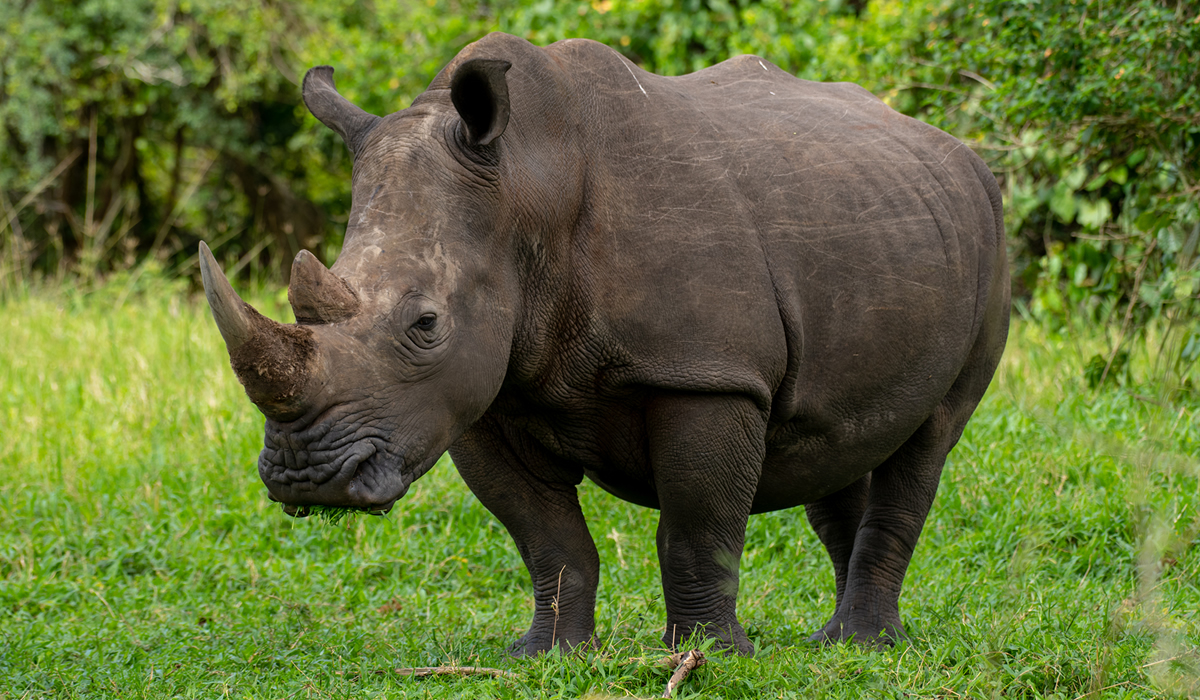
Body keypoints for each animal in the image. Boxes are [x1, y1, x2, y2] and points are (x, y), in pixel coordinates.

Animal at [199, 32, 1009, 655]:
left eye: (425, 324)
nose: (307, 479)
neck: (525, 188)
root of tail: (957, 151)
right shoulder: (478, 394)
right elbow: (546, 535)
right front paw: (547, 654)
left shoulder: (705, 373)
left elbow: (697, 528)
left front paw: (708, 655)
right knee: (836, 440)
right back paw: (834, 641)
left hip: (987, 234)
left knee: (930, 438)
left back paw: (864, 644)